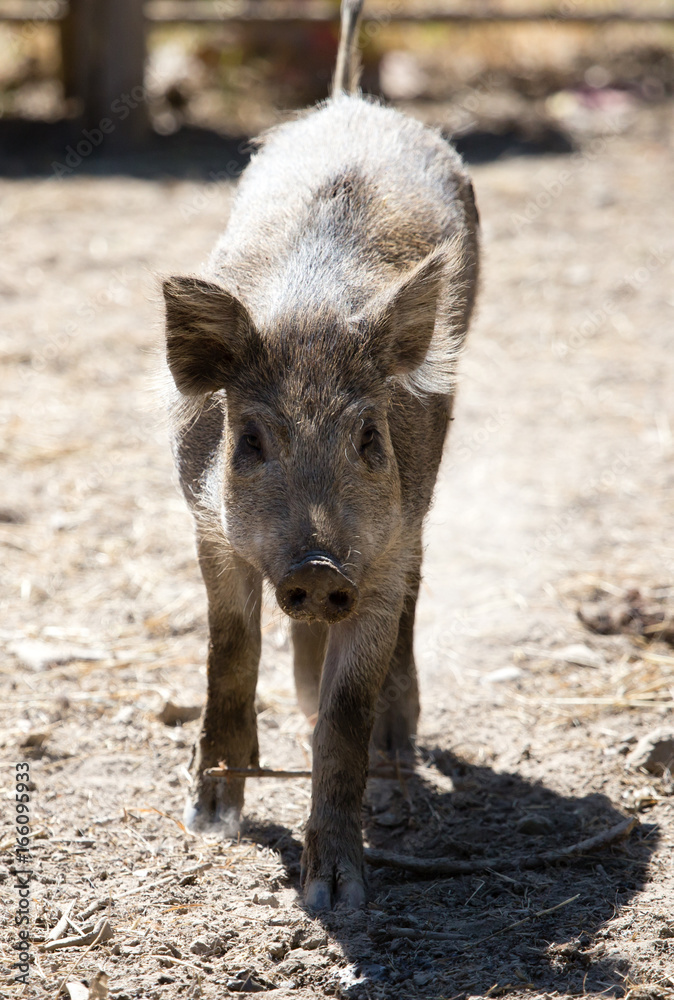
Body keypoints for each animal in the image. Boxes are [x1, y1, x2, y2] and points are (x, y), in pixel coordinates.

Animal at [162, 0, 479, 909]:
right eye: (250, 439)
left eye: (368, 436)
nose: (317, 567)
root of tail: (349, 100)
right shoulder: (209, 525)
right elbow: (229, 656)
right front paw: (211, 823)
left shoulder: (385, 550)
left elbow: (346, 716)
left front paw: (336, 897)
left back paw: (398, 782)